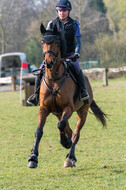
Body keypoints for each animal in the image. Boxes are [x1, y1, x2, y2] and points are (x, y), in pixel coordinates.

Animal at [28, 23, 107, 168]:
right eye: (42, 42)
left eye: (56, 42)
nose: (49, 62)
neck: (54, 78)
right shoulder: (44, 108)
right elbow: (39, 131)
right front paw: (33, 158)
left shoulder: (68, 108)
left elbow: (61, 126)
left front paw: (65, 142)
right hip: (58, 113)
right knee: (68, 130)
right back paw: (71, 155)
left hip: (82, 112)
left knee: (75, 134)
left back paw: (70, 157)